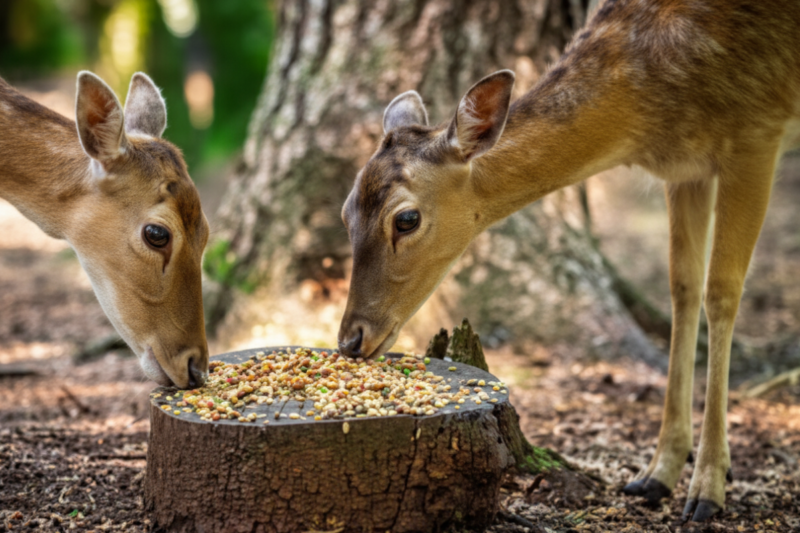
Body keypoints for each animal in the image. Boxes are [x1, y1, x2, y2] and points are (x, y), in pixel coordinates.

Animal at [337, 0, 800, 522]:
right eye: (346, 211)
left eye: (407, 219)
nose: (350, 340)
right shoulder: (687, 170)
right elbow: (683, 289)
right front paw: (656, 474)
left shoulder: (758, 131)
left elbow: (721, 293)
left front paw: (708, 489)